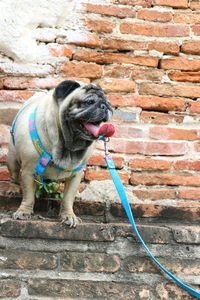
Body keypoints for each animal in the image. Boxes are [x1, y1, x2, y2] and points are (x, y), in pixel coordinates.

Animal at [6, 80, 112, 227]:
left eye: (108, 102)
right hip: (12, 159)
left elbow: (68, 198)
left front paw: (69, 215)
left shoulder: (75, 176)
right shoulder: (28, 171)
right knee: (14, 175)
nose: (105, 106)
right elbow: (28, 195)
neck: (67, 146)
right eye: (89, 102)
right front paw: (24, 211)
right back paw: (13, 189)